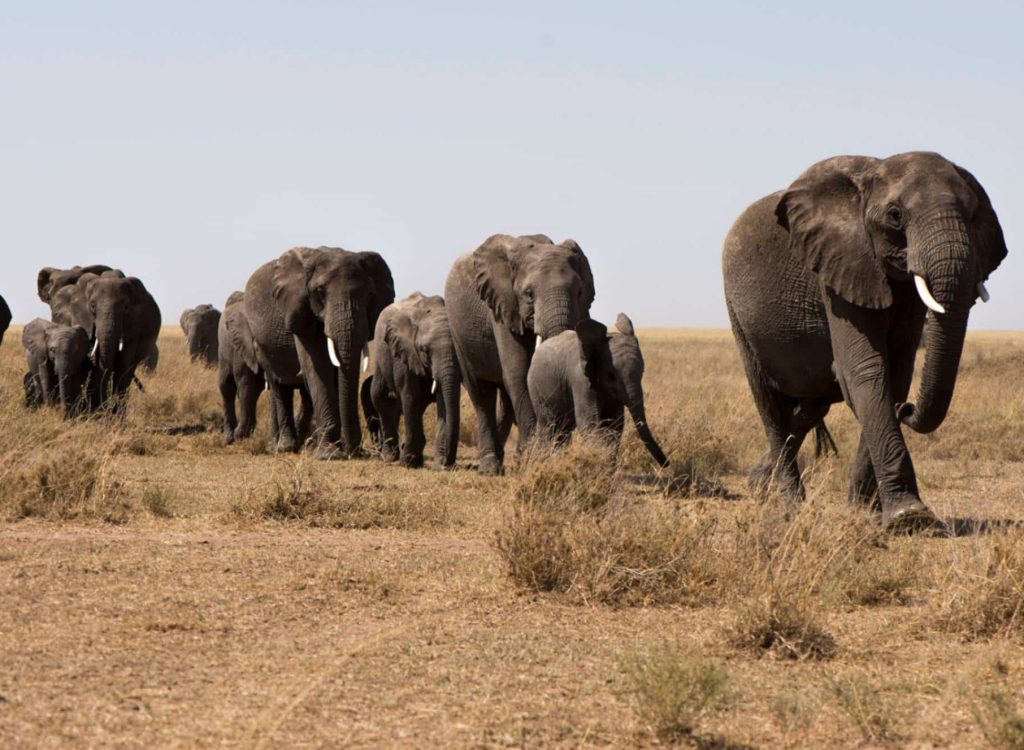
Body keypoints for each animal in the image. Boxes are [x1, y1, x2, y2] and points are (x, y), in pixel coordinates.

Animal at [244, 246, 395, 456]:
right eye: (320, 292)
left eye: (370, 294)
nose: (357, 451)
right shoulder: (300, 310)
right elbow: (318, 367)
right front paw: (330, 454)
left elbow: (335, 374)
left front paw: (338, 448)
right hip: (262, 345)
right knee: (279, 387)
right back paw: (286, 447)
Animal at [364, 292, 461, 469]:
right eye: (424, 349)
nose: (447, 463)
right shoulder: (404, 353)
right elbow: (410, 396)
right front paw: (409, 462)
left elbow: (443, 401)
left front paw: (439, 464)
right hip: (383, 355)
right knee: (383, 398)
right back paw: (390, 456)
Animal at [445, 234, 595, 475]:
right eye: (529, 294)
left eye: (580, 292)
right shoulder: (502, 306)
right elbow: (518, 371)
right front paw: (534, 457)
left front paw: (545, 457)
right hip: (458, 331)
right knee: (480, 392)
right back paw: (490, 468)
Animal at [528, 313, 669, 468]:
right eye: (611, 376)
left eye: (642, 372)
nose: (667, 463)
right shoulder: (580, 378)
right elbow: (589, 421)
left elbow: (614, 424)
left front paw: (608, 467)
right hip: (536, 388)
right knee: (549, 426)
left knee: (562, 430)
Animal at [722, 152, 1006, 530]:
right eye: (895, 215)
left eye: (974, 215)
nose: (908, 409)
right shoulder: (840, 267)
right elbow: (865, 370)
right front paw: (910, 517)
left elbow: (895, 374)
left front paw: (863, 511)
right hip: (738, 316)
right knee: (770, 405)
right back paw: (790, 505)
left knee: (809, 409)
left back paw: (760, 487)